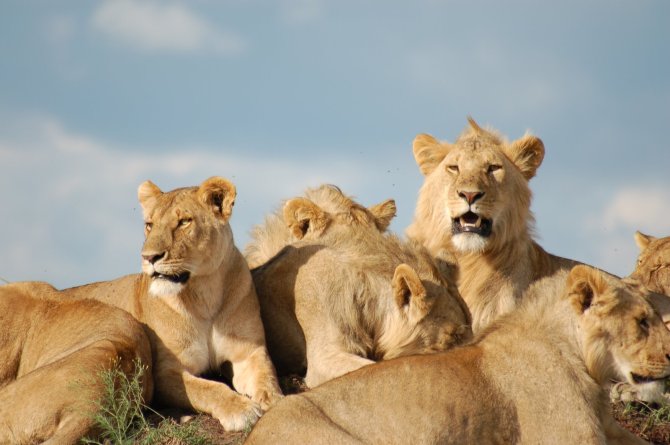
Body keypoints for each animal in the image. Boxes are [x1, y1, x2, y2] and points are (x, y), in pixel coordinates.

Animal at [7, 177, 282, 431]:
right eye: (149, 225)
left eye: (184, 222)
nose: (149, 257)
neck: (206, 295)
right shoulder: (166, 372)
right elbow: (207, 389)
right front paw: (241, 410)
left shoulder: (249, 352)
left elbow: (267, 377)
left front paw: (275, 402)